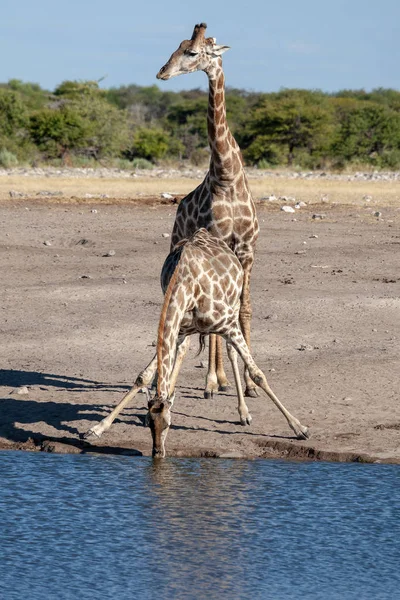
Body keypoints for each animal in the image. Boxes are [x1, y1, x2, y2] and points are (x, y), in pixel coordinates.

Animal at [82, 230, 310, 454]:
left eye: (168, 424)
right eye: (151, 426)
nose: (157, 453)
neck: (186, 285)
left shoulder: (228, 325)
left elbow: (259, 374)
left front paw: (299, 427)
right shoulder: (179, 328)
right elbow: (143, 376)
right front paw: (97, 428)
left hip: (234, 307)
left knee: (232, 352)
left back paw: (244, 413)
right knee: (184, 351)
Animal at [156, 23, 260, 400]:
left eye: (192, 52)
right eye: (176, 48)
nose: (162, 72)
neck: (226, 176)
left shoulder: (247, 249)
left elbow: (243, 310)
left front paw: (249, 384)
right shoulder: (218, 241)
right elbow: (218, 322)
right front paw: (215, 381)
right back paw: (216, 380)